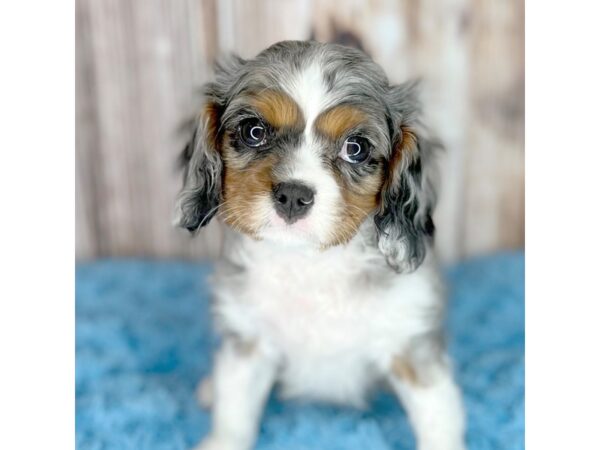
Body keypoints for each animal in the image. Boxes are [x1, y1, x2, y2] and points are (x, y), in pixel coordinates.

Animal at [176, 40, 466, 448]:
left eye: (355, 148)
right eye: (254, 131)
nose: (293, 195)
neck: (311, 264)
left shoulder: (411, 345)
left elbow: (438, 416)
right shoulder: (249, 341)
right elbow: (235, 409)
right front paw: (222, 439)